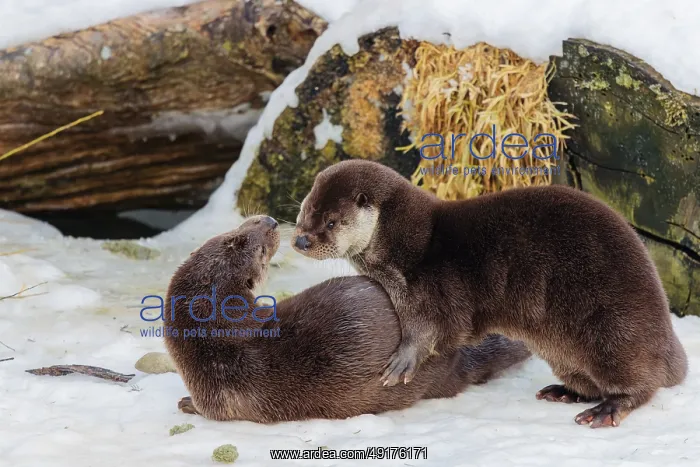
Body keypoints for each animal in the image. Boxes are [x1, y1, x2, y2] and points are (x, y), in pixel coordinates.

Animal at [163, 215, 530, 423]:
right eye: (239, 237)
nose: (268, 221)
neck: (214, 343)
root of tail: (455, 359)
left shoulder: (216, 397)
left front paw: (186, 403)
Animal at [292, 160, 688, 428]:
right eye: (303, 212)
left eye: (331, 222)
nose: (300, 240)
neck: (405, 244)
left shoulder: (432, 289)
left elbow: (430, 330)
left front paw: (403, 361)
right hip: (563, 349)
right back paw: (565, 392)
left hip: (614, 328)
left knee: (640, 381)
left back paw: (607, 409)